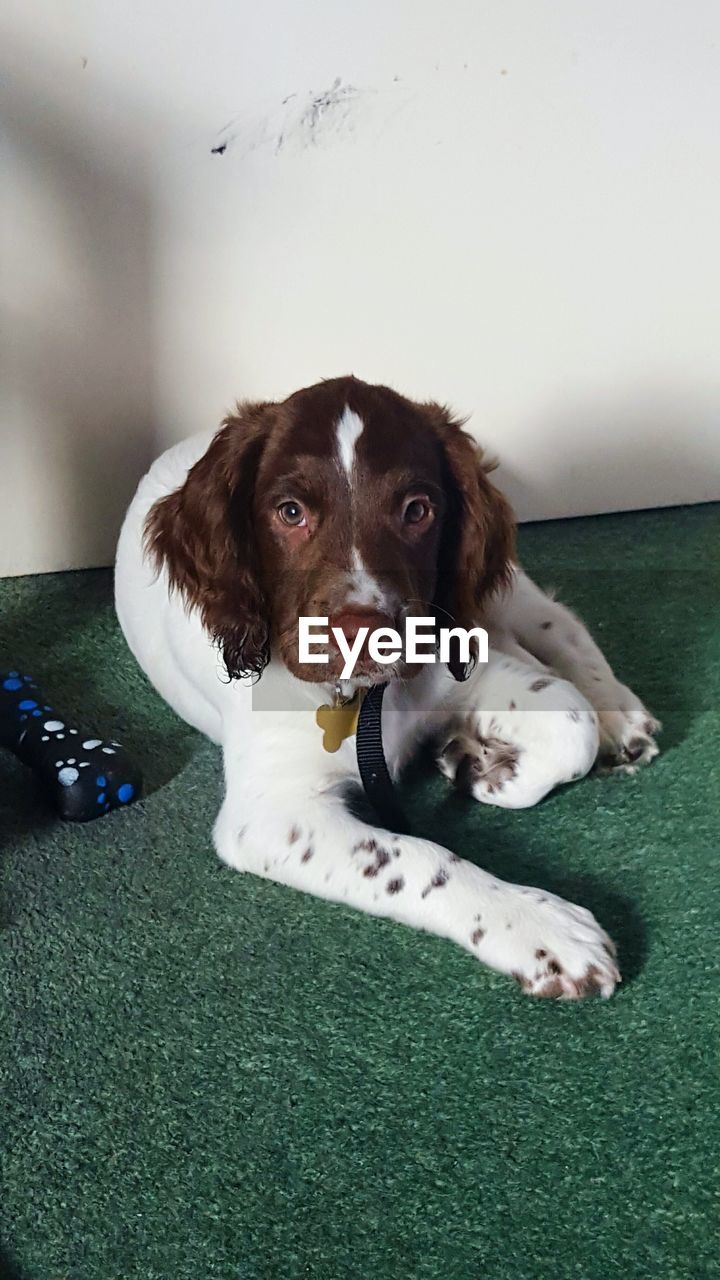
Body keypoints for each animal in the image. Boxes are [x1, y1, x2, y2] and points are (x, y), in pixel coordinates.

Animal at [114, 373, 661, 993]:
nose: (363, 633)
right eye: (290, 511)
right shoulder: (270, 815)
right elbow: (419, 859)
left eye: (417, 510)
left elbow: (571, 721)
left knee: (558, 626)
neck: (363, 701)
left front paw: (494, 774)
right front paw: (542, 928)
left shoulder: (459, 664)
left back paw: (619, 715)